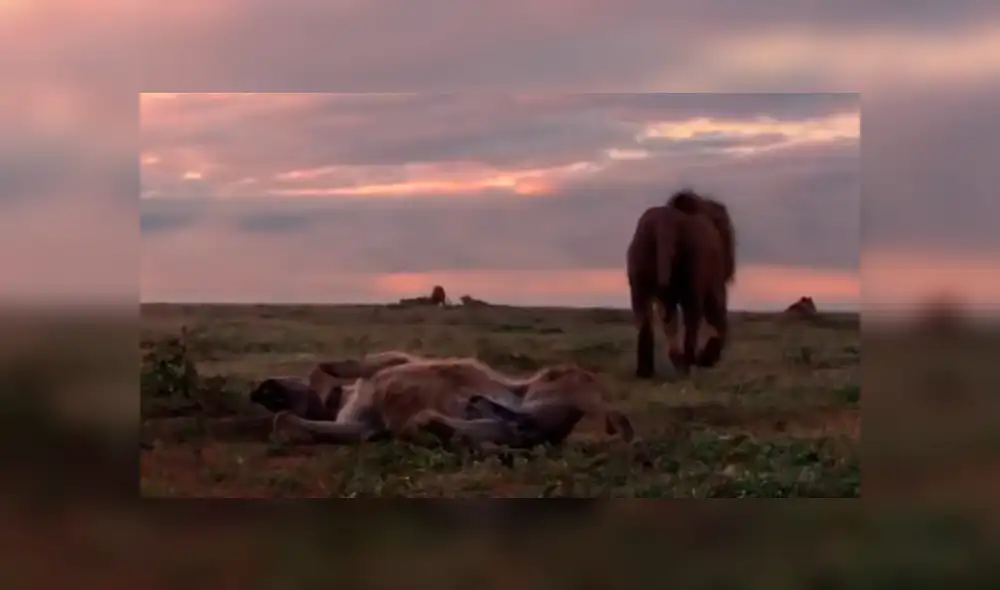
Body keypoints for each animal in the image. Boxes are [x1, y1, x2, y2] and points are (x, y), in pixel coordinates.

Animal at [626, 188, 736, 378]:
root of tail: (665, 222)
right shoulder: (711, 273)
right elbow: (715, 309)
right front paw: (705, 360)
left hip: (639, 257)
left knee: (644, 312)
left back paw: (646, 373)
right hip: (693, 260)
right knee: (692, 314)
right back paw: (687, 366)